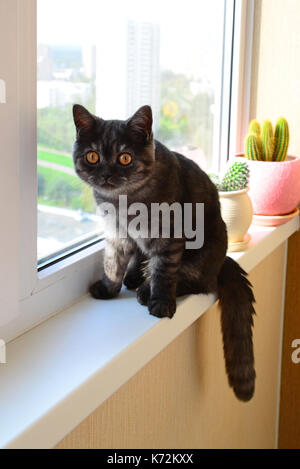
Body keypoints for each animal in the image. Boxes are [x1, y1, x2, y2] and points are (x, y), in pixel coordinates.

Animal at [72, 104, 255, 400]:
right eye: (92, 156)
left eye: (125, 158)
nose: (106, 175)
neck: (124, 202)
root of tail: (223, 261)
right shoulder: (116, 234)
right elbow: (113, 263)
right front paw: (109, 289)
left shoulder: (168, 239)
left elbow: (164, 272)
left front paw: (160, 302)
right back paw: (135, 279)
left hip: (202, 254)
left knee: (198, 282)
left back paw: (146, 291)